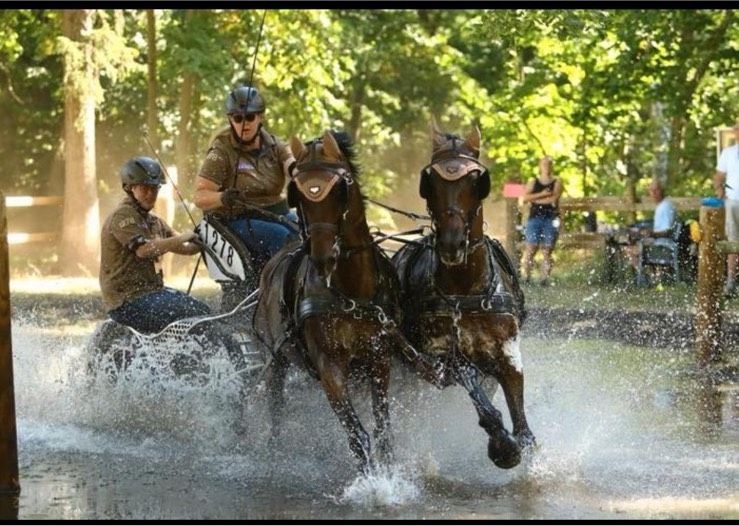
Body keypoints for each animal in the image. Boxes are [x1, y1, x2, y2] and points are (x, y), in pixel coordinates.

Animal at [256, 130, 404, 476]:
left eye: (340, 188)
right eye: (297, 193)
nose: (323, 257)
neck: (352, 293)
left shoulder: (379, 359)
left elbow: (383, 429)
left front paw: (391, 474)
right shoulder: (330, 366)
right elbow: (357, 434)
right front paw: (373, 482)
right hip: (276, 359)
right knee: (276, 407)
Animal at [396, 120, 536, 470]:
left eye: (477, 181)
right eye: (429, 182)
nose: (452, 242)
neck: (466, 290)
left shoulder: (508, 352)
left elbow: (521, 419)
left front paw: (520, 443)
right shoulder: (442, 356)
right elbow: (472, 384)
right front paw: (502, 444)